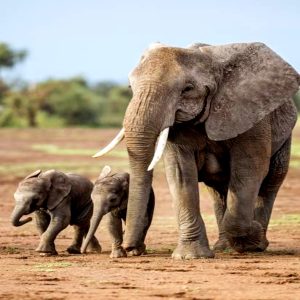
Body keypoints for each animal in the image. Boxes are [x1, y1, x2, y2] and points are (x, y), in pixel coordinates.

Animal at [94, 41, 300, 258]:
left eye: (188, 89)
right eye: (129, 87)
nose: (130, 248)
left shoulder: (251, 114)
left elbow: (249, 169)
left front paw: (252, 236)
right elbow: (181, 174)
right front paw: (191, 256)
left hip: (284, 135)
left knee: (270, 182)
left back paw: (256, 243)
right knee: (218, 190)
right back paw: (225, 247)